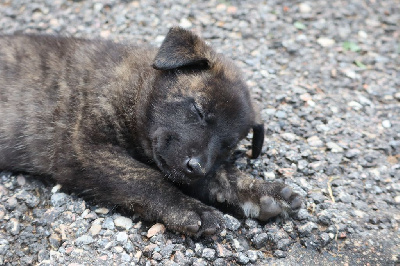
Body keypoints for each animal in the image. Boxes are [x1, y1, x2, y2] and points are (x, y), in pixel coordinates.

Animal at [0, 27, 300, 235]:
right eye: (198, 110)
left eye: (228, 145)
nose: (196, 166)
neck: (136, 87)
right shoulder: (84, 148)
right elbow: (146, 179)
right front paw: (190, 209)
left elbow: (221, 175)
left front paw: (262, 192)